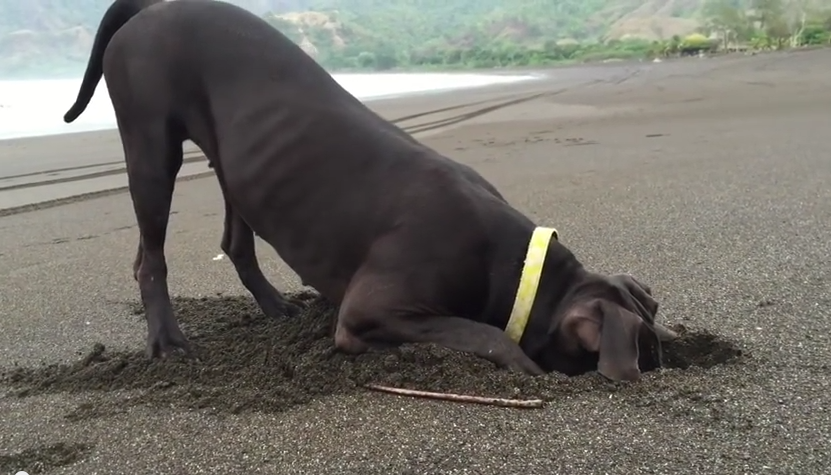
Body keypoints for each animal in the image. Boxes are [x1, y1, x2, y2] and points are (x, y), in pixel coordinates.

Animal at [63, 0, 676, 382]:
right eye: (645, 353)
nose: (668, 357)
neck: (518, 266)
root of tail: (153, 8)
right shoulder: (372, 308)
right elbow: (486, 334)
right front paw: (522, 365)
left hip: (232, 158)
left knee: (236, 239)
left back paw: (275, 306)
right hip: (149, 142)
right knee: (150, 255)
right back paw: (167, 340)